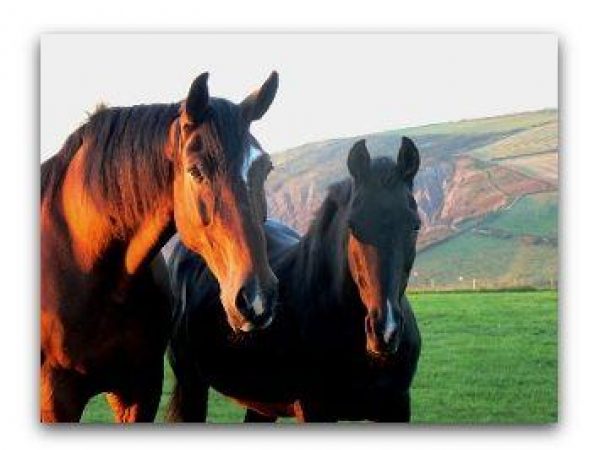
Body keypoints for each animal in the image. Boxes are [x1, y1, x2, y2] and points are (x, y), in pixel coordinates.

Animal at [167, 137, 422, 422]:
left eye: (415, 225)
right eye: (352, 226)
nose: (386, 331)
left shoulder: (397, 407)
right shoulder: (315, 410)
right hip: (192, 385)